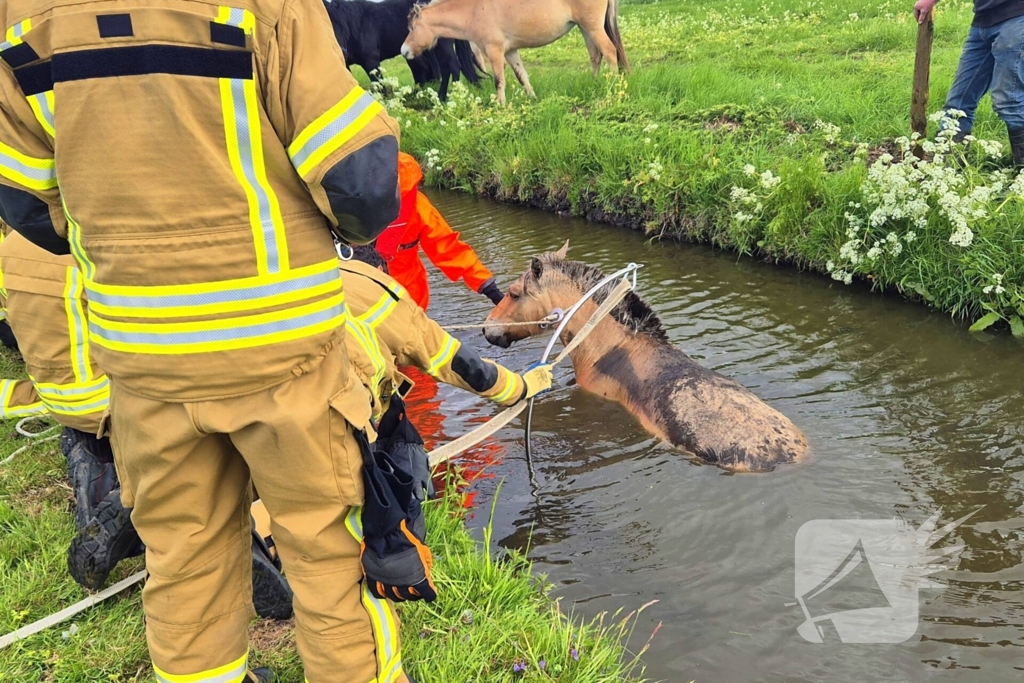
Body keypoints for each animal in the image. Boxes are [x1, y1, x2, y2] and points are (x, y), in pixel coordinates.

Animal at [324, 0, 482, 102]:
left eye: (341, 24)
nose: (342, 52)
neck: (358, 26)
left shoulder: (371, 62)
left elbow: (380, 85)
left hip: (442, 45)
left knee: (453, 65)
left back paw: (452, 96)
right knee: (445, 68)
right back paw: (441, 96)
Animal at [401, 0, 628, 104]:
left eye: (412, 28)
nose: (404, 51)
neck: (472, 9)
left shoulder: (495, 51)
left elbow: (499, 80)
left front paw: (501, 105)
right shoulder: (510, 52)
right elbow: (522, 76)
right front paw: (533, 98)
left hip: (592, 27)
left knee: (609, 52)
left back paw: (611, 87)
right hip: (584, 27)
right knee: (595, 55)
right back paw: (594, 83)